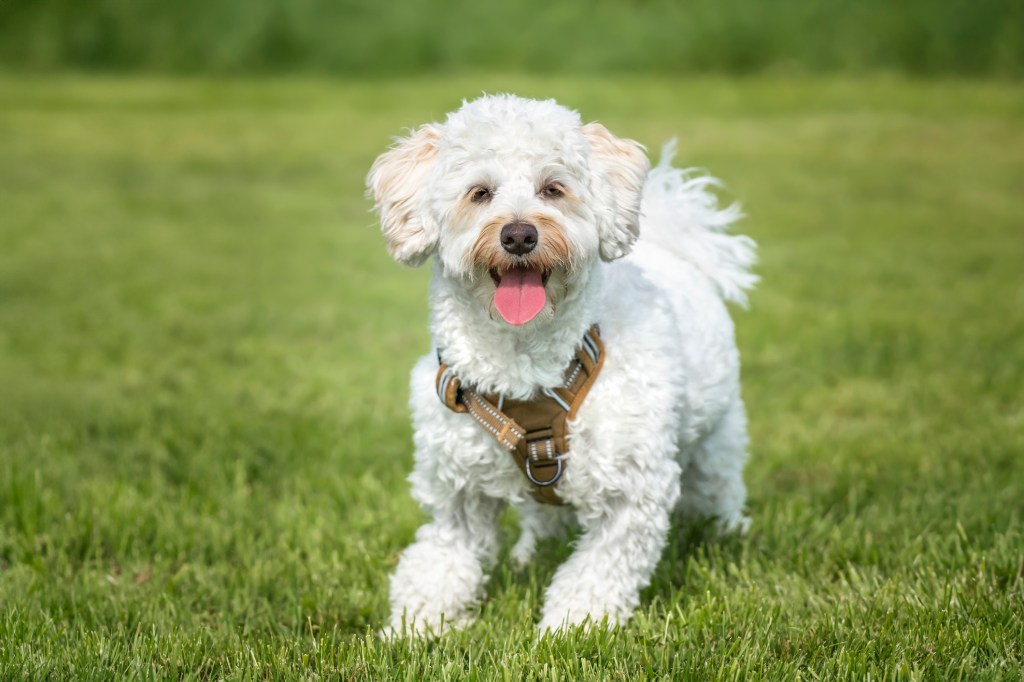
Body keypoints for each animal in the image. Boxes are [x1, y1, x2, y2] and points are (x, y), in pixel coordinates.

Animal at [364, 94, 757, 630]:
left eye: (553, 189)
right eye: (480, 193)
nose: (518, 235)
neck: (525, 365)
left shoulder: (631, 491)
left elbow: (596, 571)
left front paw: (570, 629)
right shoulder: (457, 494)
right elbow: (441, 558)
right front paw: (417, 627)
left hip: (715, 444)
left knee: (719, 488)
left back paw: (727, 531)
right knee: (544, 517)